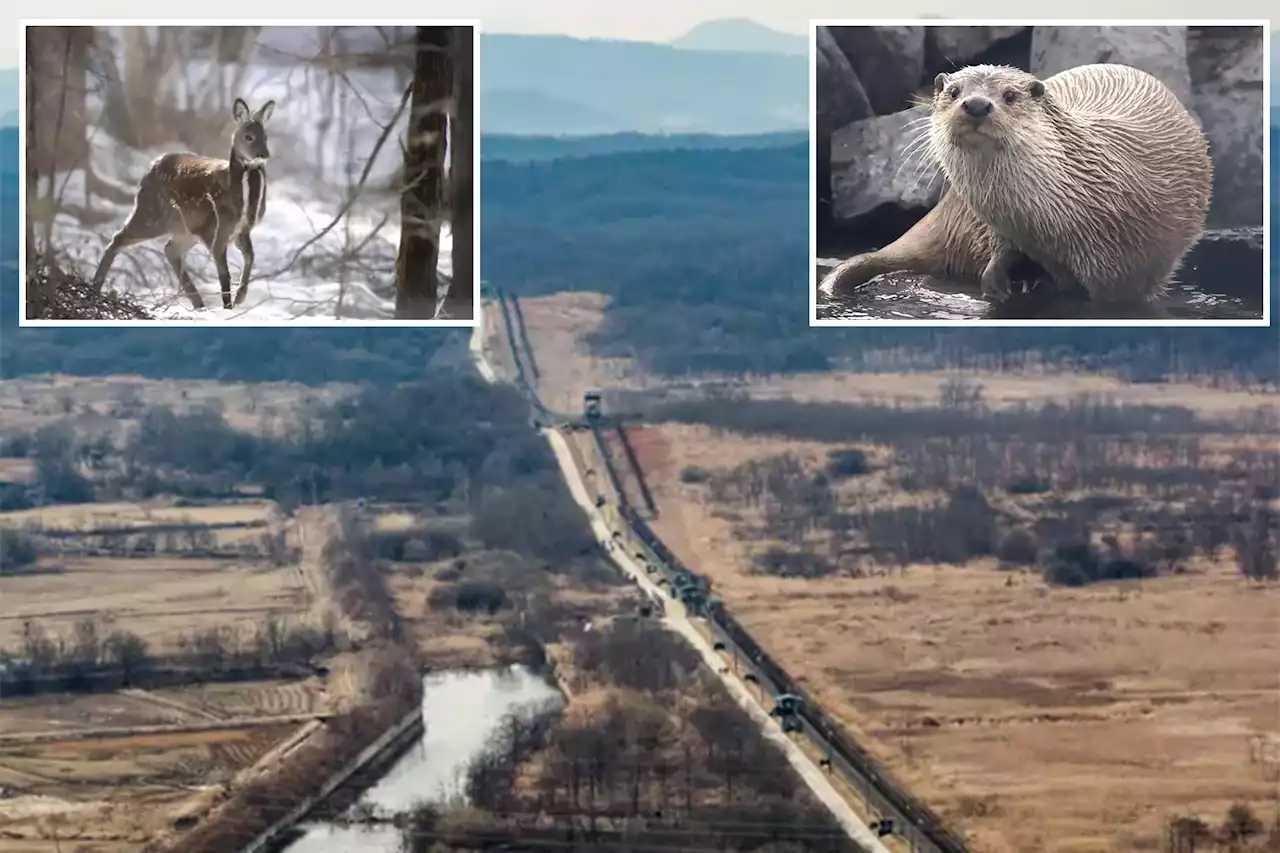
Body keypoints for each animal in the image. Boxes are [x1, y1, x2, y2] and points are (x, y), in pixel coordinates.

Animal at [819, 62, 1208, 306]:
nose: (976, 104)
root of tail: (947, 212)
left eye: (1009, 95)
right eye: (954, 91)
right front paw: (999, 279)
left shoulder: (1130, 271)